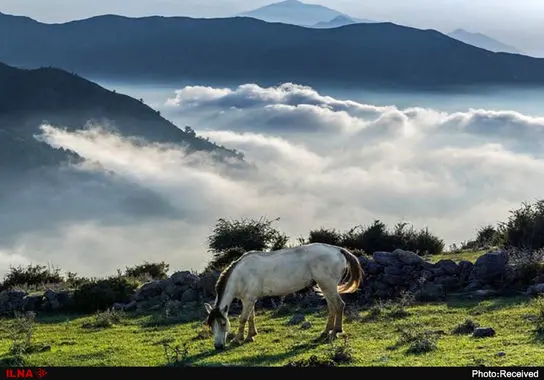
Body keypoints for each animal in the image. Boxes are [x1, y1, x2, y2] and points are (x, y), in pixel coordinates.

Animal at [203, 243, 362, 350]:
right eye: (211, 325)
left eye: (223, 323)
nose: (218, 346)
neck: (240, 274)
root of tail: (337, 249)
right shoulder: (249, 299)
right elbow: (251, 317)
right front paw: (250, 336)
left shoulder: (248, 300)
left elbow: (243, 319)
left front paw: (237, 339)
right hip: (326, 286)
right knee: (332, 308)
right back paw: (325, 332)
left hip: (328, 285)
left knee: (339, 305)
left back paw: (335, 332)